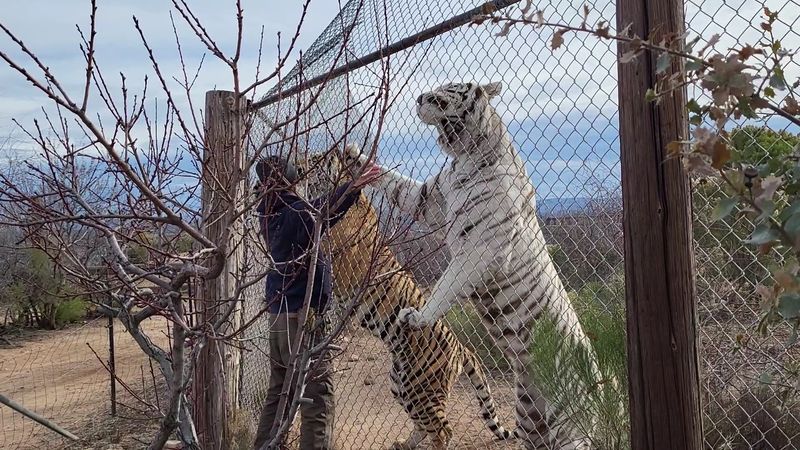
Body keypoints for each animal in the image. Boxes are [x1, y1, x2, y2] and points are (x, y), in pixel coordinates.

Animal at [301, 152, 513, 450]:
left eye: (316, 159)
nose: (300, 164)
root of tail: (461, 347)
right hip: (401, 384)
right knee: (423, 425)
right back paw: (404, 444)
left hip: (421, 388)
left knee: (443, 430)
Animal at [347, 81, 608, 449]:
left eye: (445, 90)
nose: (418, 97)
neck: (464, 157)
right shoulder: (429, 199)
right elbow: (395, 182)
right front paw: (356, 156)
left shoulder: (482, 248)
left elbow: (445, 285)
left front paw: (418, 317)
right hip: (531, 421)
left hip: (571, 429)